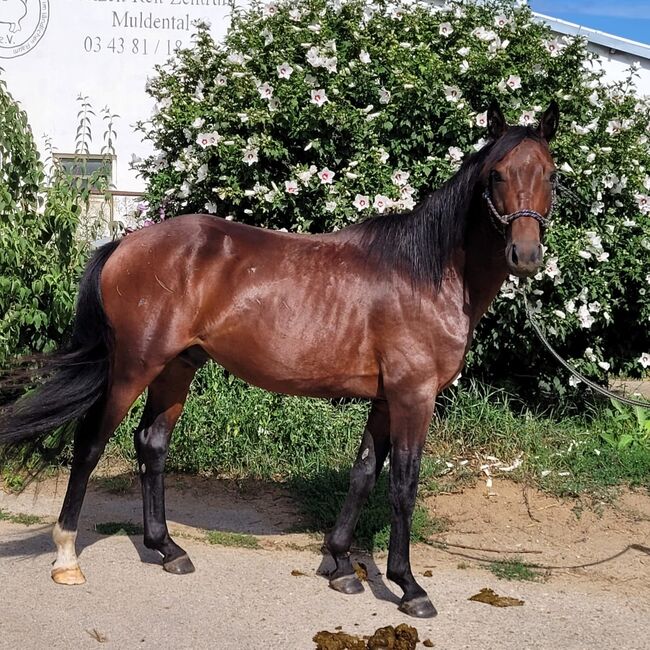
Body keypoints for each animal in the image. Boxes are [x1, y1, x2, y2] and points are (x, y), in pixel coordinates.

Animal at [0, 98, 556, 616]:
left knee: (151, 443)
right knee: (91, 442)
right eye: (497, 174)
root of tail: (123, 244)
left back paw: (167, 549)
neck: (426, 275)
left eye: (550, 173)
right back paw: (67, 557)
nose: (525, 256)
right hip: (134, 366)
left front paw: (339, 565)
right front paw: (409, 587)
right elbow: (403, 484)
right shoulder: (412, 396)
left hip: (177, 367)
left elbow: (363, 474)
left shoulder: (385, 399)